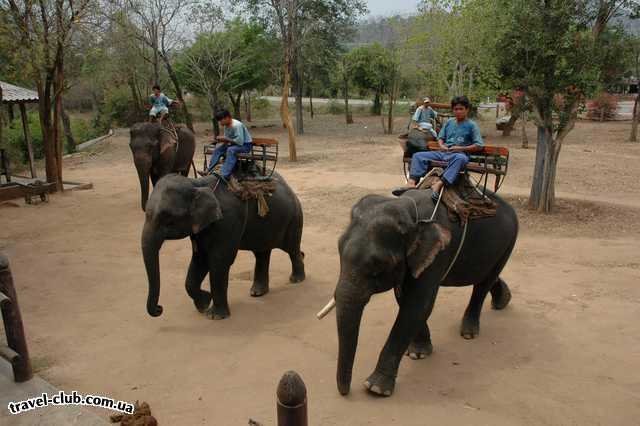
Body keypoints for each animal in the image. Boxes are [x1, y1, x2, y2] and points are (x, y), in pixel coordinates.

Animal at [141, 172, 306, 320]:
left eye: (168, 219)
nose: (159, 309)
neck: (197, 183)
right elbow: (200, 259)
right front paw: (204, 304)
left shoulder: (228, 221)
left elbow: (219, 261)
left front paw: (214, 315)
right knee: (262, 253)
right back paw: (257, 292)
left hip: (294, 218)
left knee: (292, 248)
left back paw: (296, 280)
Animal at [328, 189, 516, 396]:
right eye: (339, 249)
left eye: (379, 266)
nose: (345, 393)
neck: (409, 211)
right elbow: (405, 298)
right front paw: (418, 353)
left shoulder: (438, 253)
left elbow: (417, 304)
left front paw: (375, 388)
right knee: (485, 277)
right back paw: (503, 300)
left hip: (509, 243)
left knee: (484, 283)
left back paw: (469, 333)